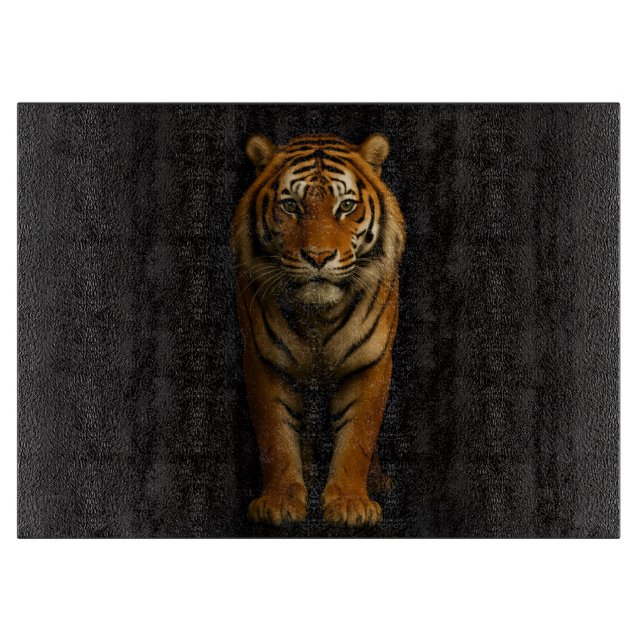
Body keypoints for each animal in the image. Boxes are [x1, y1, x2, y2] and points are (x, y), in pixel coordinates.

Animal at [232, 132, 405, 528]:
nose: (318, 257)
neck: (317, 316)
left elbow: (358, 436)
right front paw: (280, 503)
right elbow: (275, 435)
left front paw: (351, 505)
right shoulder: (264, 360)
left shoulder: (371, 361)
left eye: (346, 206)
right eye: (290, 206)